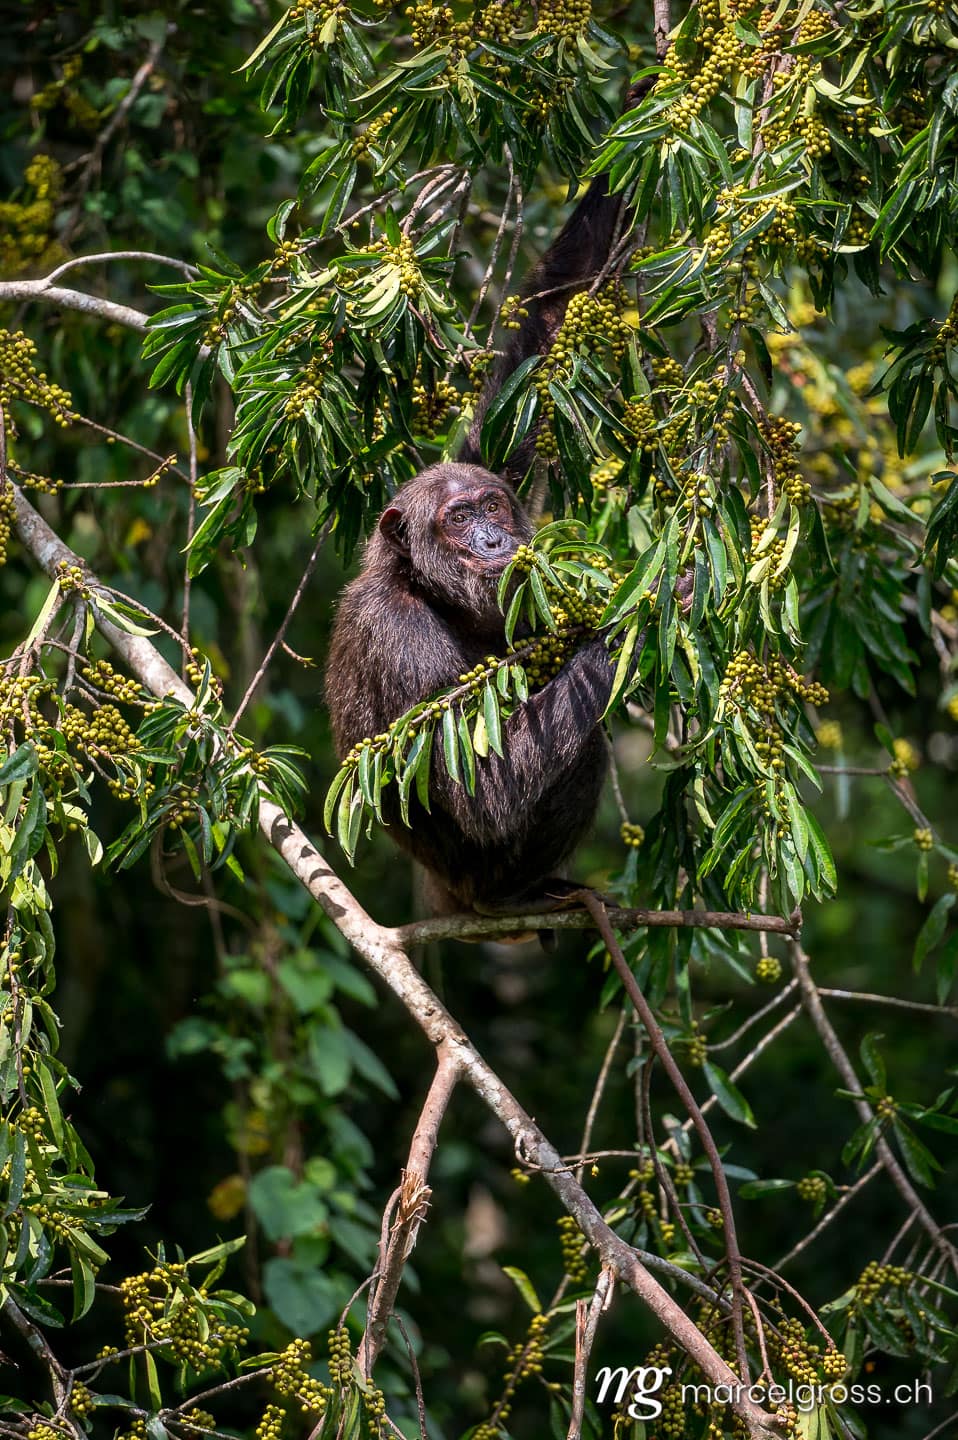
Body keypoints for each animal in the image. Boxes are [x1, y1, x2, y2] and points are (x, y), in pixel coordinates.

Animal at [325, 115, 639, 915]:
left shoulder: (497, 455)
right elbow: (484, 787)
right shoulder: (400, 637)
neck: (429, 587)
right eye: (458, 518)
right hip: (484, 879)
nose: (494, 536)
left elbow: (542, 336)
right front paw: (647, 602)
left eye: (491, 505)